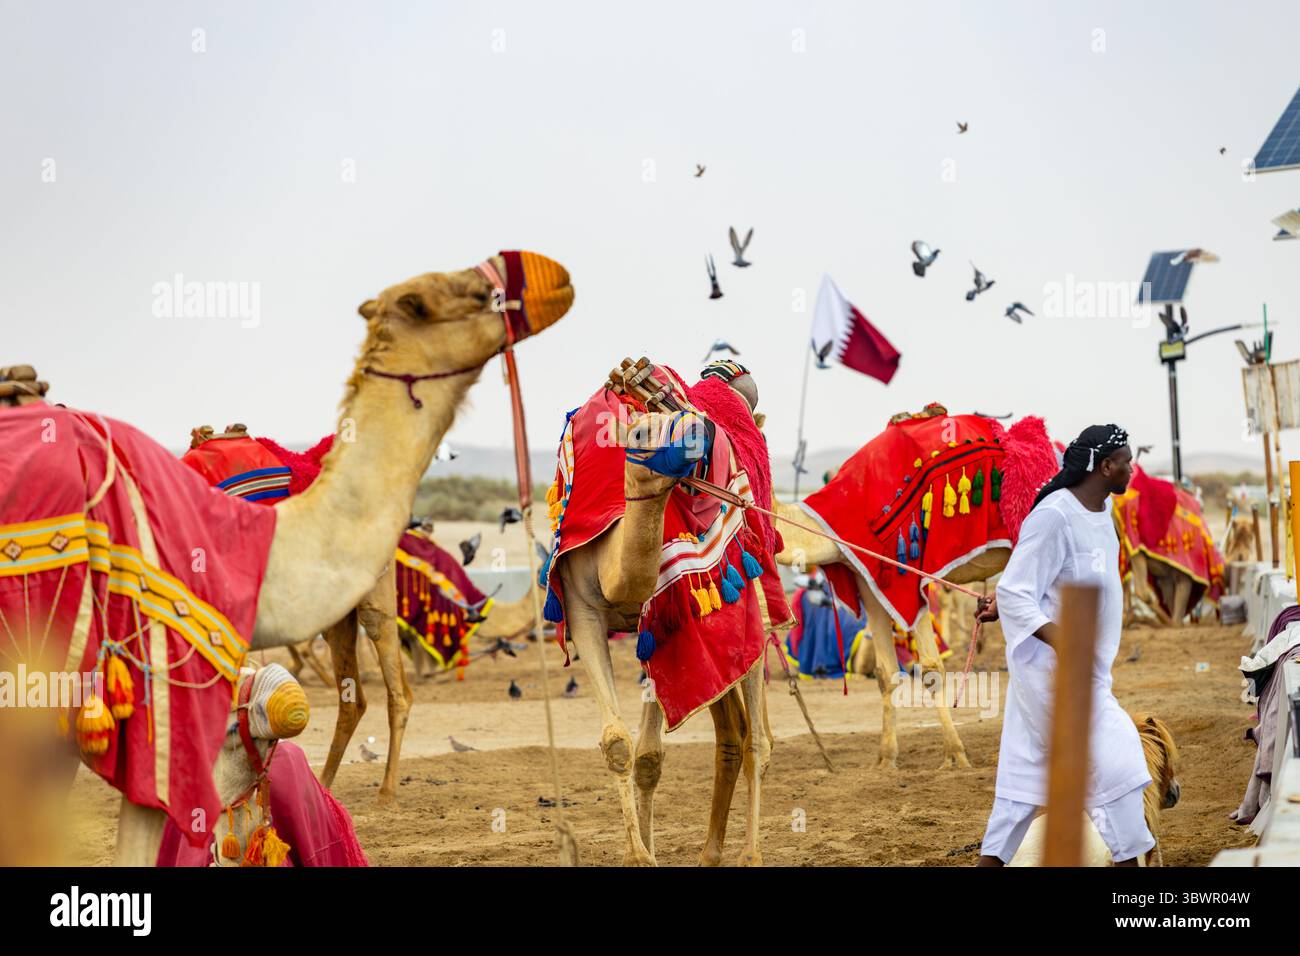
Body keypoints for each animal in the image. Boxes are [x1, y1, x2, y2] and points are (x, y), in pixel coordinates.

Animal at [71, 249, 573, 864]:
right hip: (338, 612)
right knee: (354, 697)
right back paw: (329, 786)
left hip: (370, 598)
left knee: (395, 691)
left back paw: (381, 794)